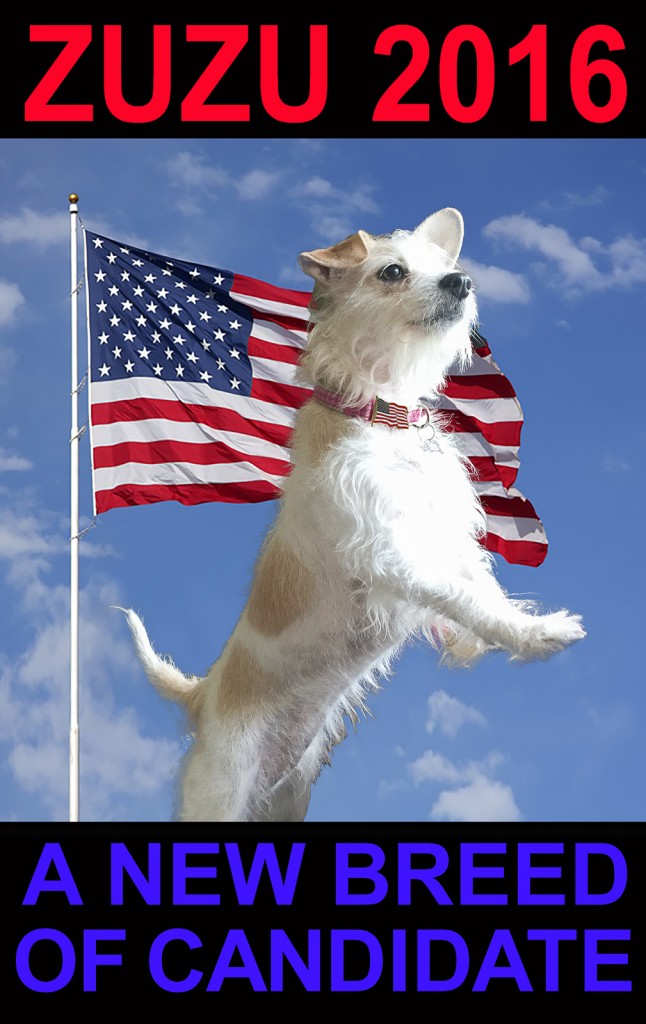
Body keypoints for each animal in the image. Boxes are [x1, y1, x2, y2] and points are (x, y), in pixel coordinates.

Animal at [120, 209, 585, 823]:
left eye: (447, 267)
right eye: (392, 272)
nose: (462, 282)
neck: (384, 416)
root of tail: (200, 695)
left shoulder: (448, 537)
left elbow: (480, 587)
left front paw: (492, 633)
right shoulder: (391, 554)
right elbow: (465, 596)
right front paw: (536, 634)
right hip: (219, 796)